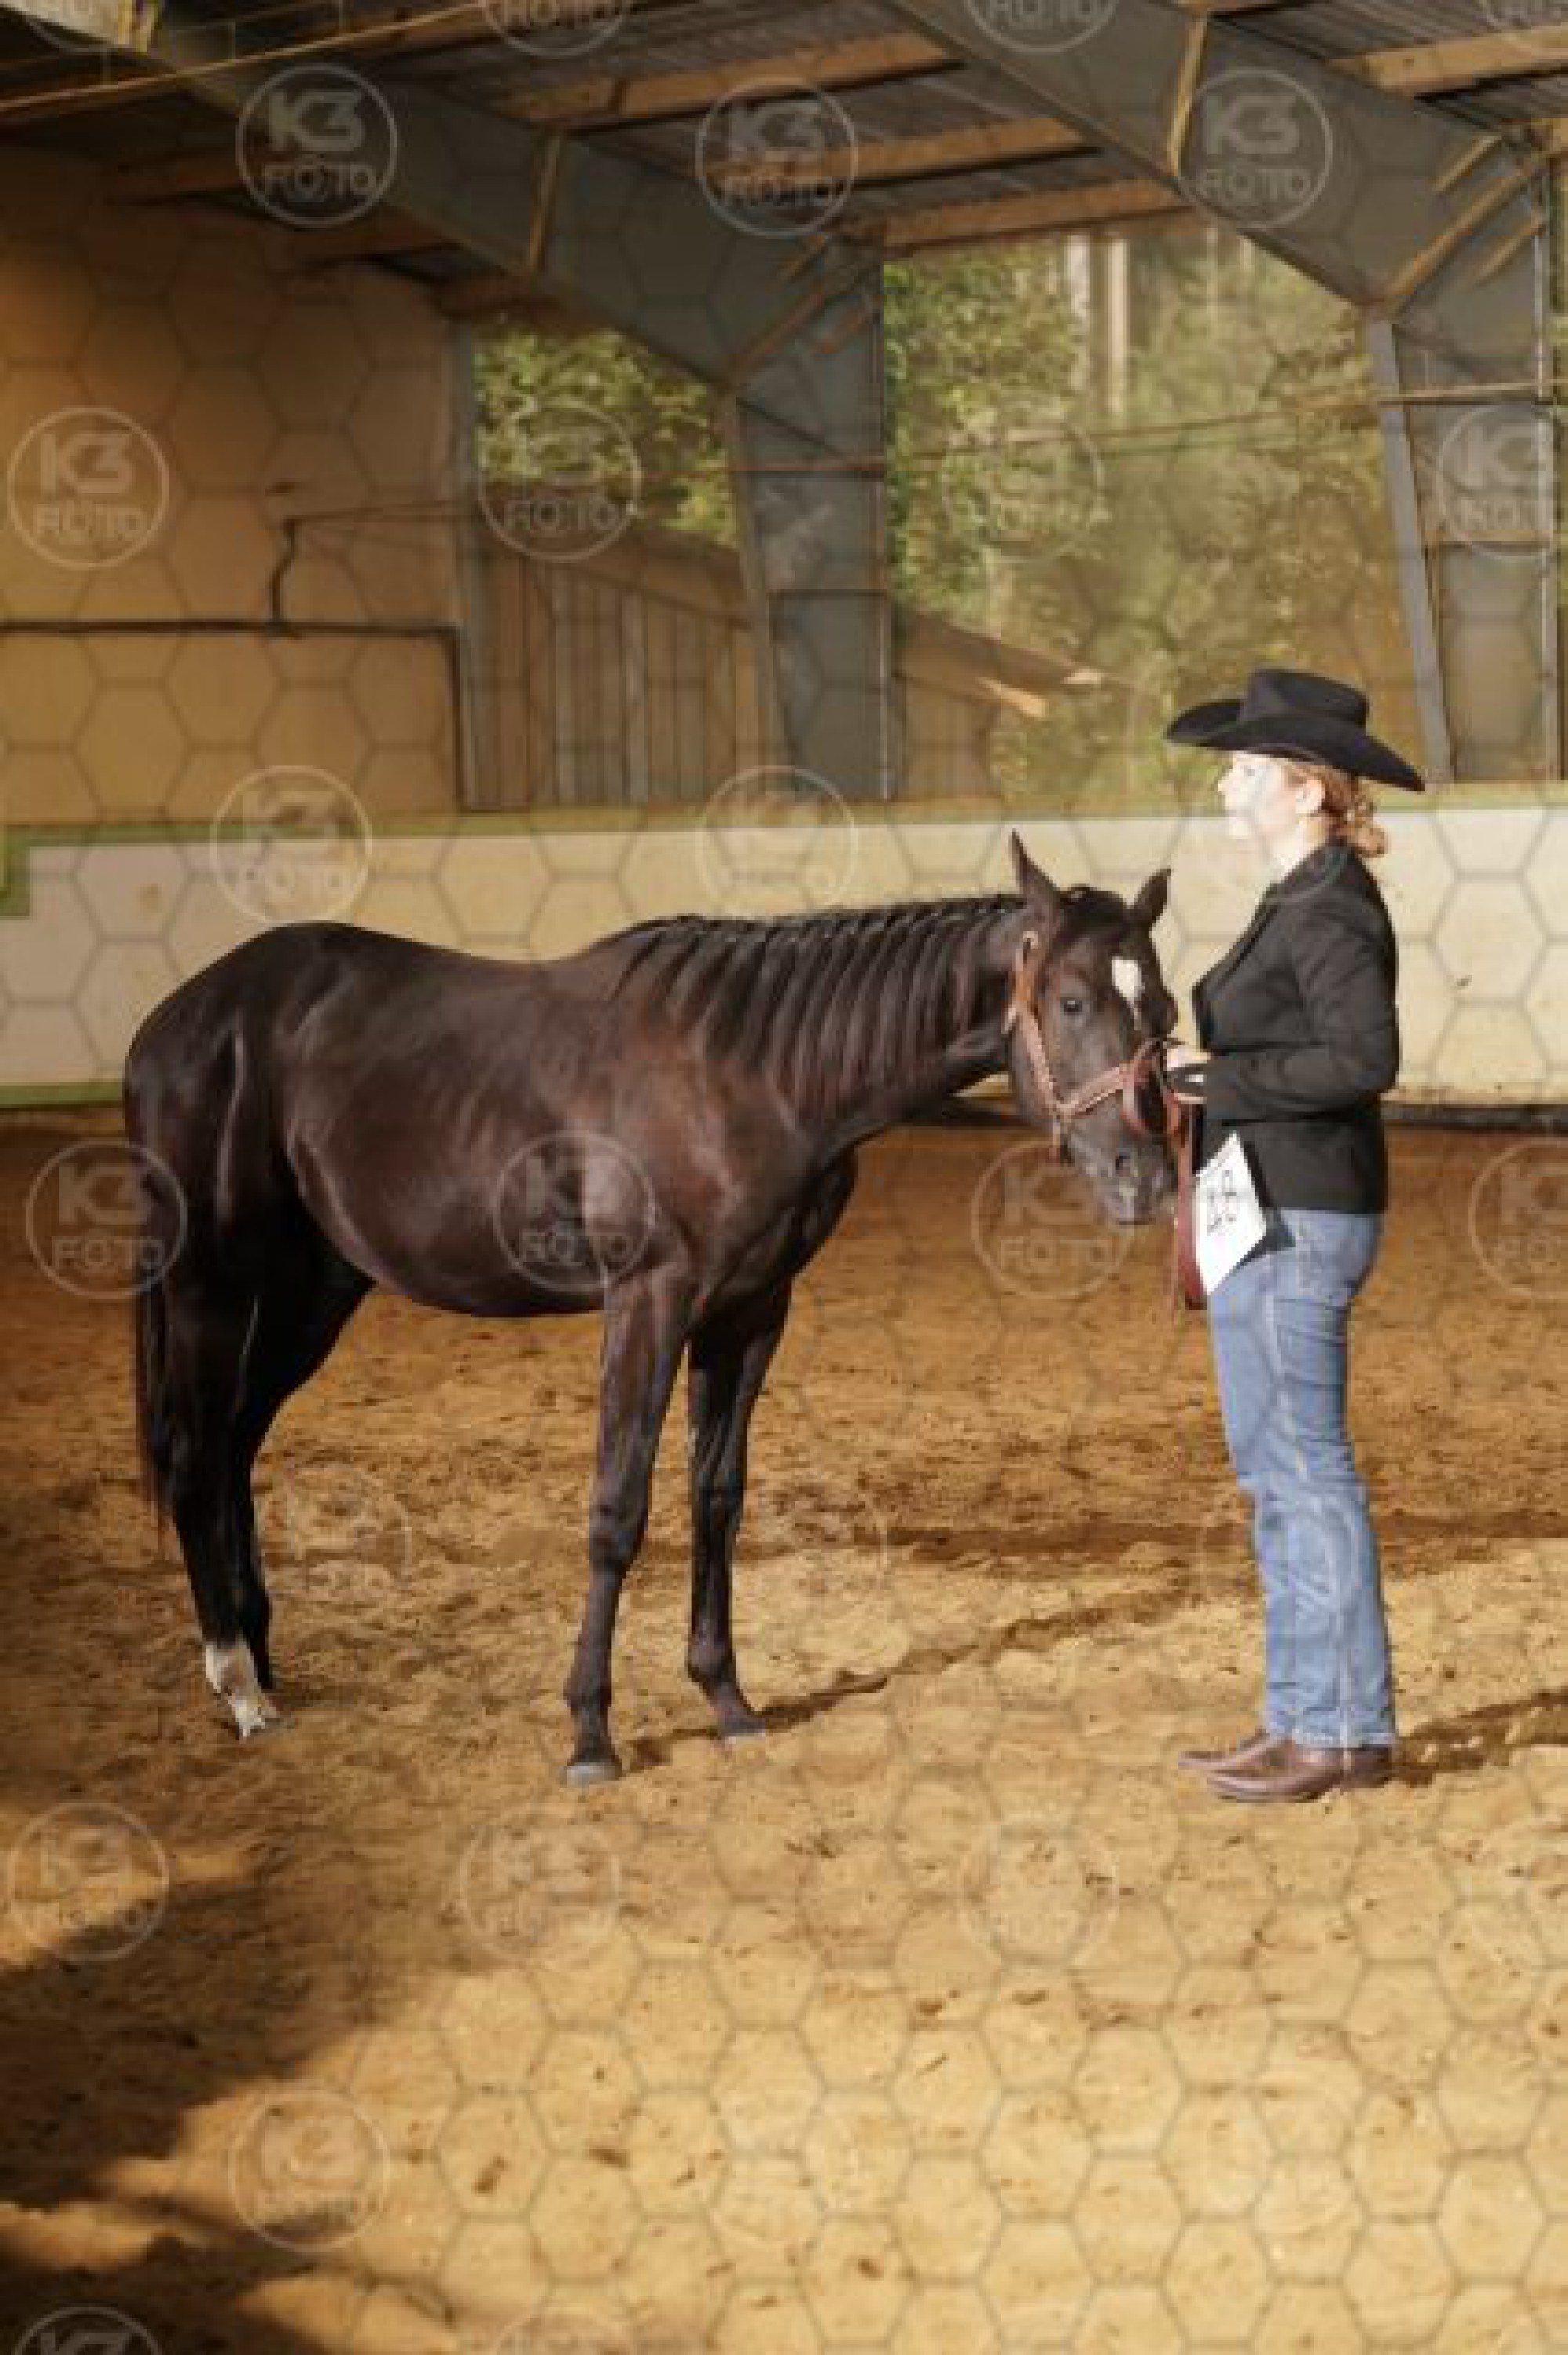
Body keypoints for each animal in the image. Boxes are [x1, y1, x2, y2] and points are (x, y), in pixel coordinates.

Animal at [123, 832, 1180, 1782]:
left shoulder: (750, 1312)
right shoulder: (650, 1302)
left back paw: (261, 1659)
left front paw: (726, 1698)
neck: (755, 1072)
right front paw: (590, 1732)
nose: (1146, 1178)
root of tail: (179, 1022)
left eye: (1162, 1014)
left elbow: (716, 1496)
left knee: (235, 1446)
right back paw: (238, 1685)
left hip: (315, 1288)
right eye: (1072, 1000)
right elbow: (617, 1507)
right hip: (211, 1284)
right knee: (196, 1456)